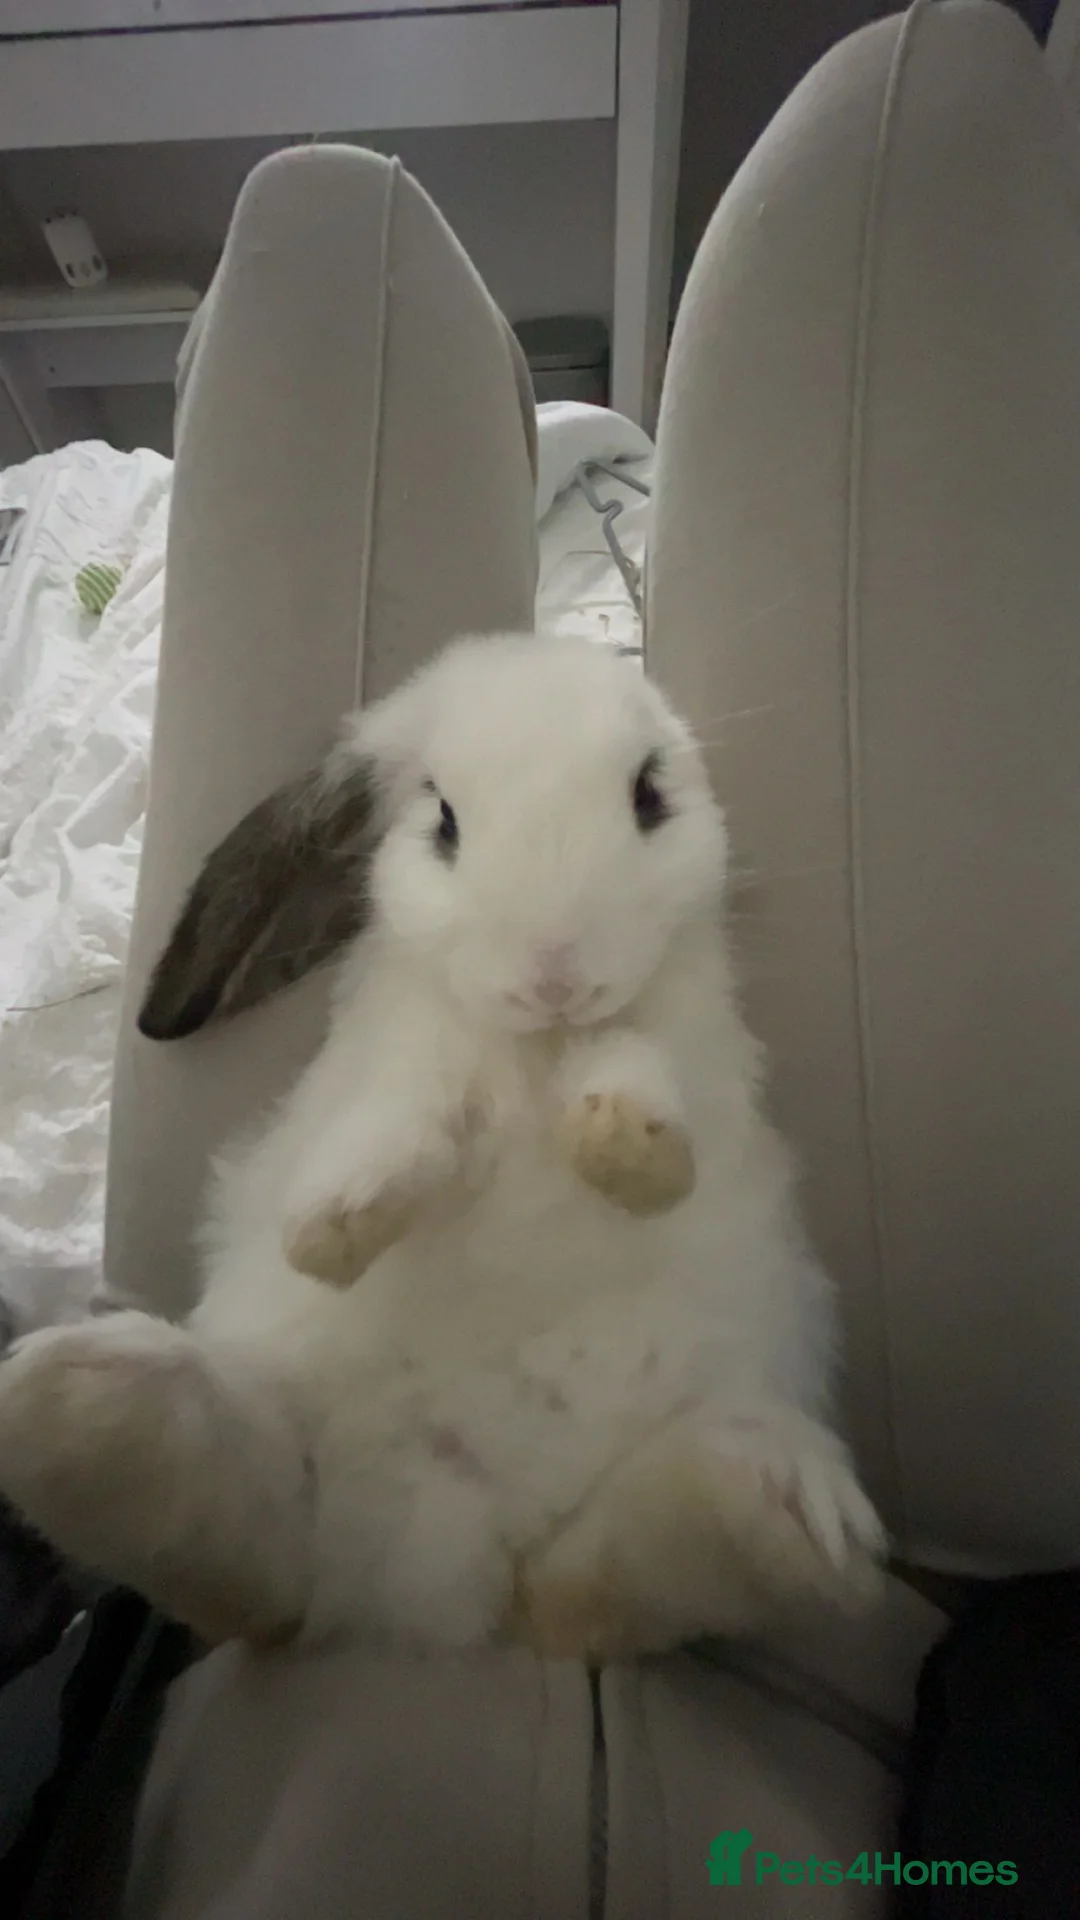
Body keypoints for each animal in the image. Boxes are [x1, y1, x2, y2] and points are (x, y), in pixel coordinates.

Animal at [0, 633, 884, 1659]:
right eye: (444, 822)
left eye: (649, 795)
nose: (555, 972)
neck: (536, 1049)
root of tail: (442, 1578)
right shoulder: (409, 1060)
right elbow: (405, 1125)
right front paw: (333, 1231)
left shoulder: (684, 1046)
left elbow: (637, 1071)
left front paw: (631, 1154)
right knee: (254, 1576)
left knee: (574, 1598)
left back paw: (783, 1511)